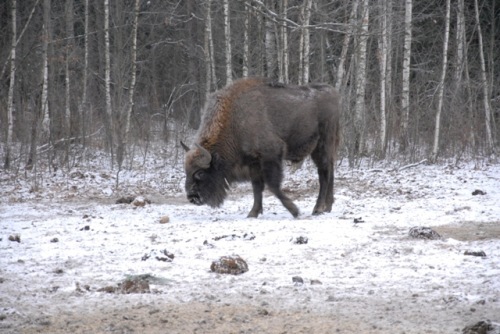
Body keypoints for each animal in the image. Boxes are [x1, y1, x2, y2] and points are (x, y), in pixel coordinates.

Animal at [182, 77, 342, 218]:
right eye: (186, 171)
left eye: (200, 173)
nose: (192, 197)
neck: (234, 119)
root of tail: (333, 92)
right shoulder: (253, 162)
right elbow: (257, 187)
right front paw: (253, 213)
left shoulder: (271, 154)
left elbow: (273, 185)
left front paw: (295, 211)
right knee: (329, 171)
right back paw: (327, 207)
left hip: (323, 145)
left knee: (324, 174)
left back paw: (318, 209)